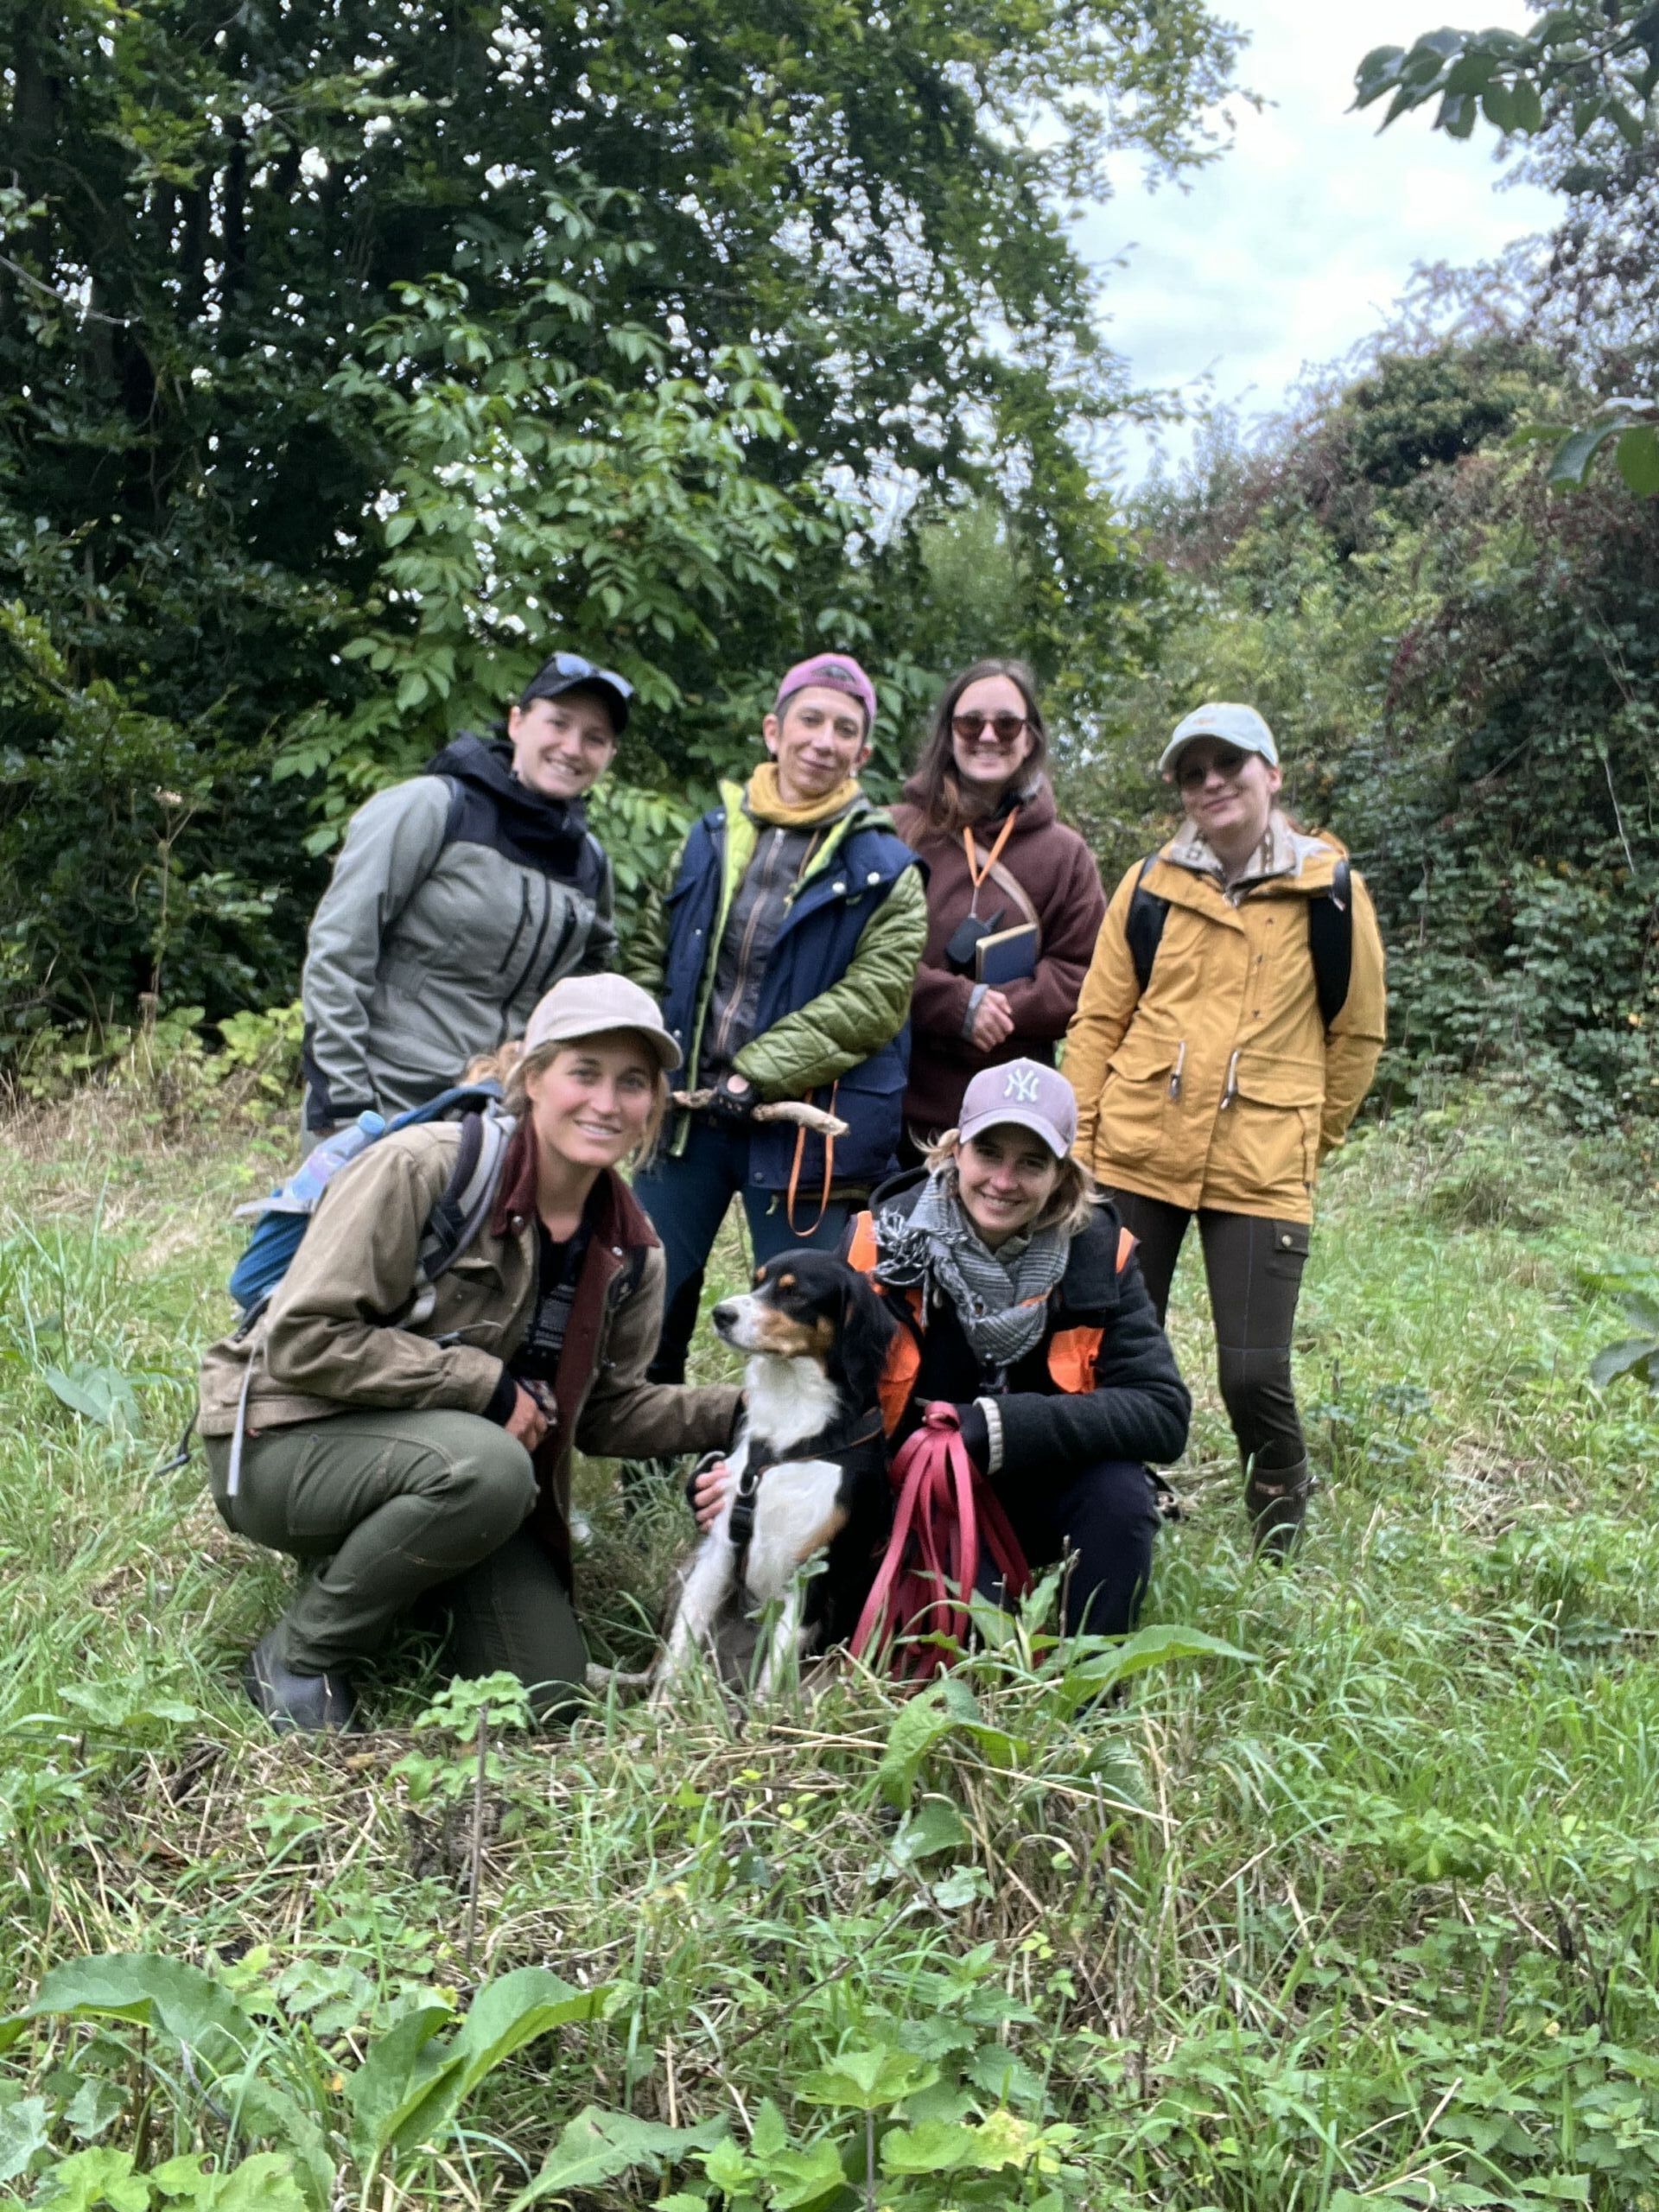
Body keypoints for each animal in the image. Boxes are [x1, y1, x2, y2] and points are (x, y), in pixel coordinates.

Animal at [652, 1250, 896, 1704]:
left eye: (794, 1293)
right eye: (757, 1281)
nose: (721, 1314)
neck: (791, 1436)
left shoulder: (810, 1579)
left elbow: (770, 1683)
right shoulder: (720, 1550)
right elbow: (678, 1653)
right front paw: (656, 1715)